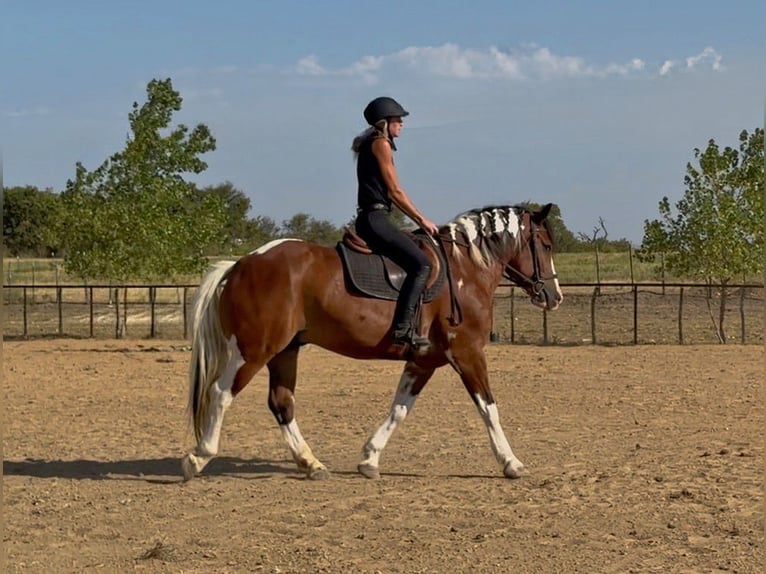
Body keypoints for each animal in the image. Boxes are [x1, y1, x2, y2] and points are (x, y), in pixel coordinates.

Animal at [181, 203, 562, 481]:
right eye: (545, 245)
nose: (554, 296)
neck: (464, 272)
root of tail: (241, 264)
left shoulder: (424, 360)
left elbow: (400, 408)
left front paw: (369, 458)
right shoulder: (467, 354)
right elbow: (488, 408)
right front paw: (511, 462)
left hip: (284, 351)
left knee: (282, 403)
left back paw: (311, 464)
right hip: (255, 349)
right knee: (221, 393)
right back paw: (199, 457)